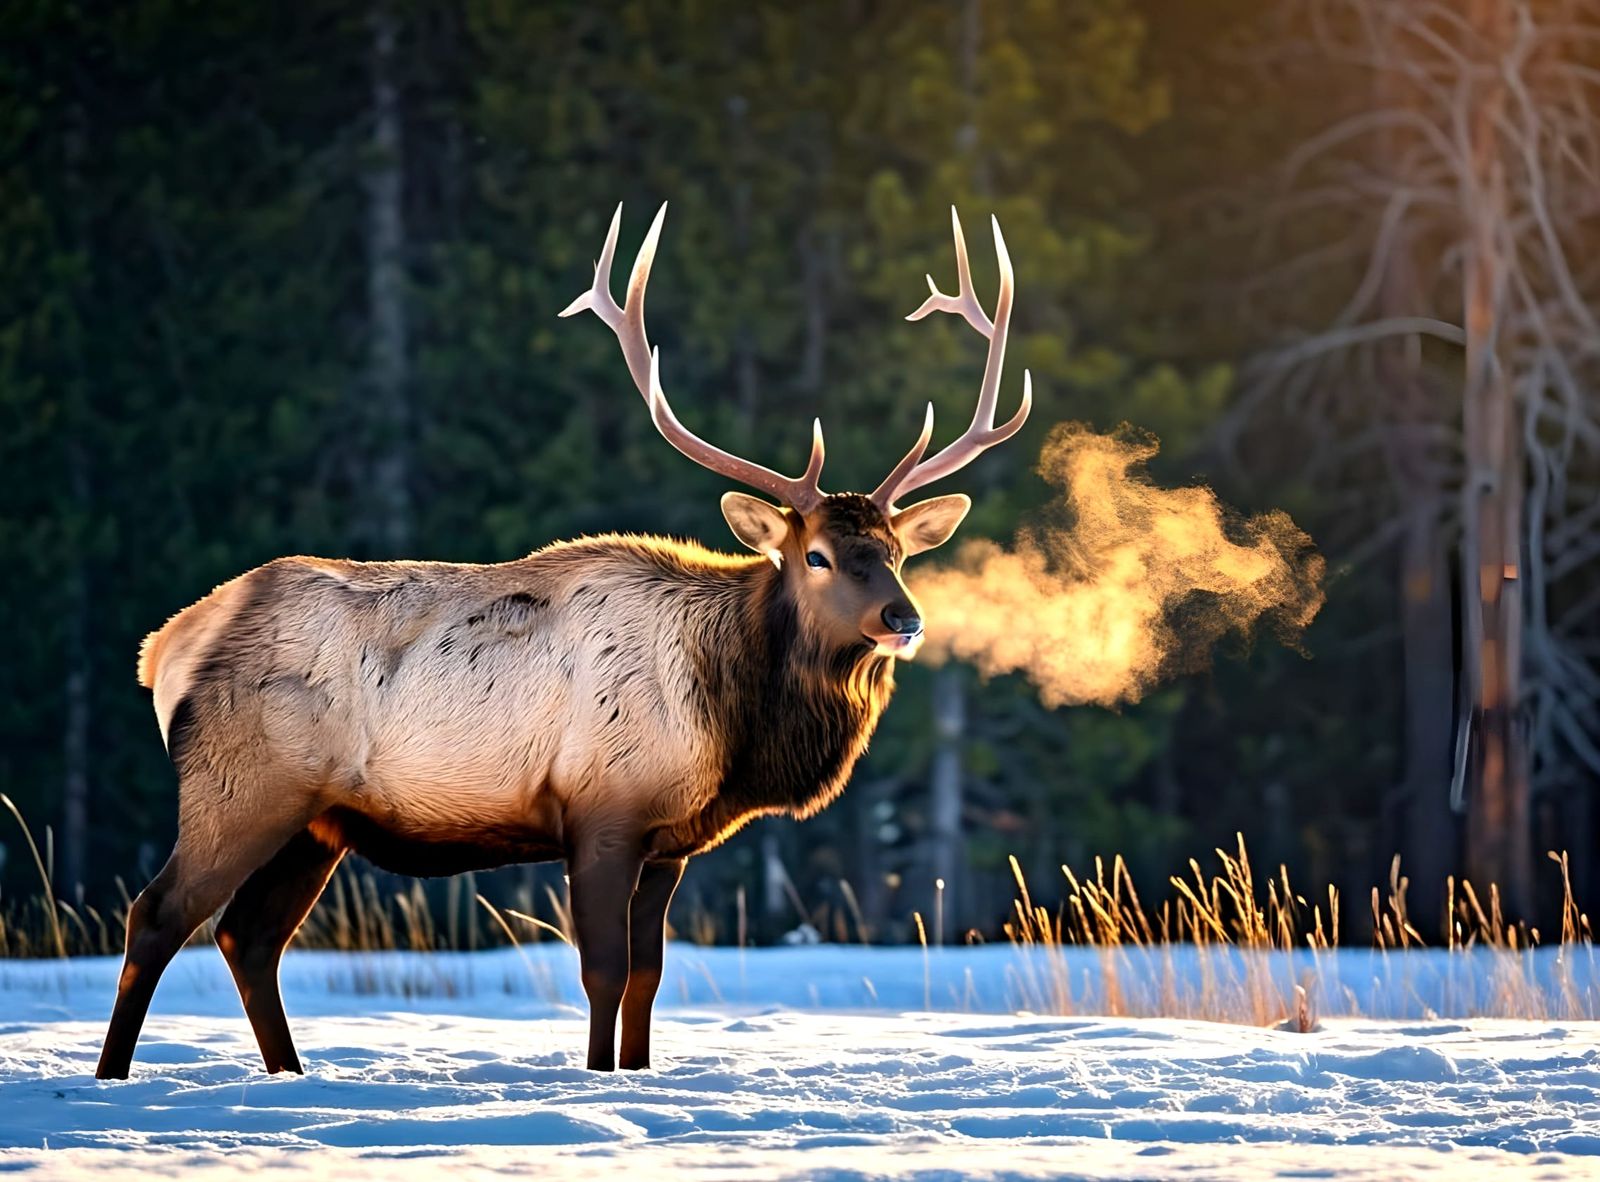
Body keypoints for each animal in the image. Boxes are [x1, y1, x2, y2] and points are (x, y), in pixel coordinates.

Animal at [93, 206, 1030, 1081]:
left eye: (899, 551)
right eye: (818, 556)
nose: (903, 618)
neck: (730, 724)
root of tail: (165, 648)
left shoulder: (668, 842)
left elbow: (649, 977)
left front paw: (638, 1071)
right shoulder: (602, 810)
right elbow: (603, 972)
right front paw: (595, 1077)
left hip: (317, 821)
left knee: (249, 938)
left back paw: (290, 1076)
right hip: (240, 786)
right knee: (158, 915)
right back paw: (113, 1078)